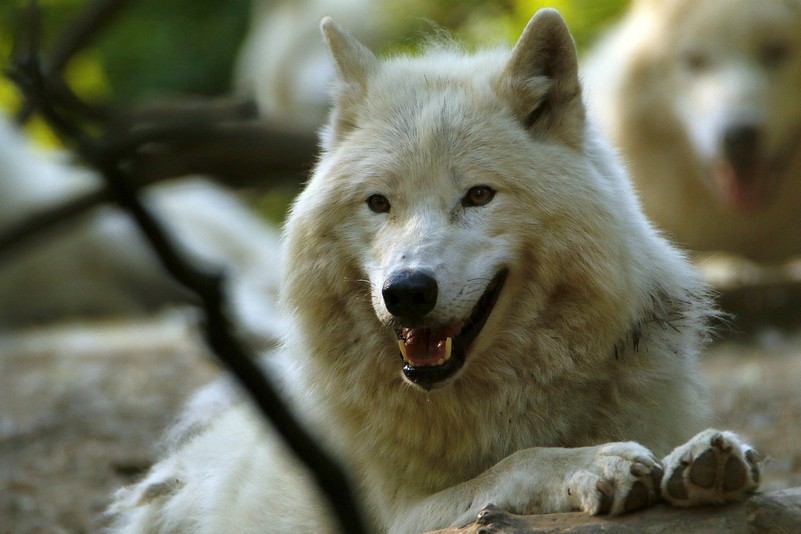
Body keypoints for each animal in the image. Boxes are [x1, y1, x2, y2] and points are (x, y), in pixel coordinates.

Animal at [107, 9, 761, 533]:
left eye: (478, 195)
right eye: (378, 203)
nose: (407, 292)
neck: (491, 405)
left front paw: (701, 460)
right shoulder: (397, 516)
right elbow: (514, 467)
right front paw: (594, 462)